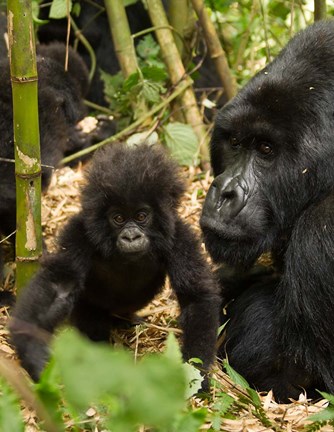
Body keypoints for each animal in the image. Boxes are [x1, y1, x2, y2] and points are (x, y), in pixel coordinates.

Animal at [9, 143, 222, 384]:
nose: (131, 236)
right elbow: (59, 287)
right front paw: (33, 353)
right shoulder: (79, 233)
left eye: (141, 216)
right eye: (118, 218)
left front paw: (194, 375)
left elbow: (195, 298)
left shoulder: (179, 237)